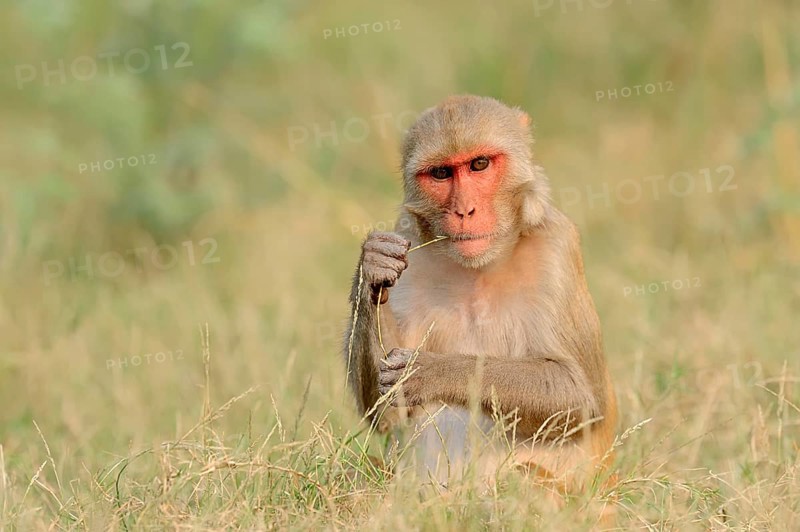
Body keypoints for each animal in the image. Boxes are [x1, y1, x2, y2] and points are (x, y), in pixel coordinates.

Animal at [342, 95, 617, 492]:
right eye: (441, 174)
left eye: (479, 165)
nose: (464, 211)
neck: (479, 269)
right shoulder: (411, 244)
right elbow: (389, 412)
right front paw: (373, 267)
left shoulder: (557, 247)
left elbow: (580, 396)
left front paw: (432, 371)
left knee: (523, 477)